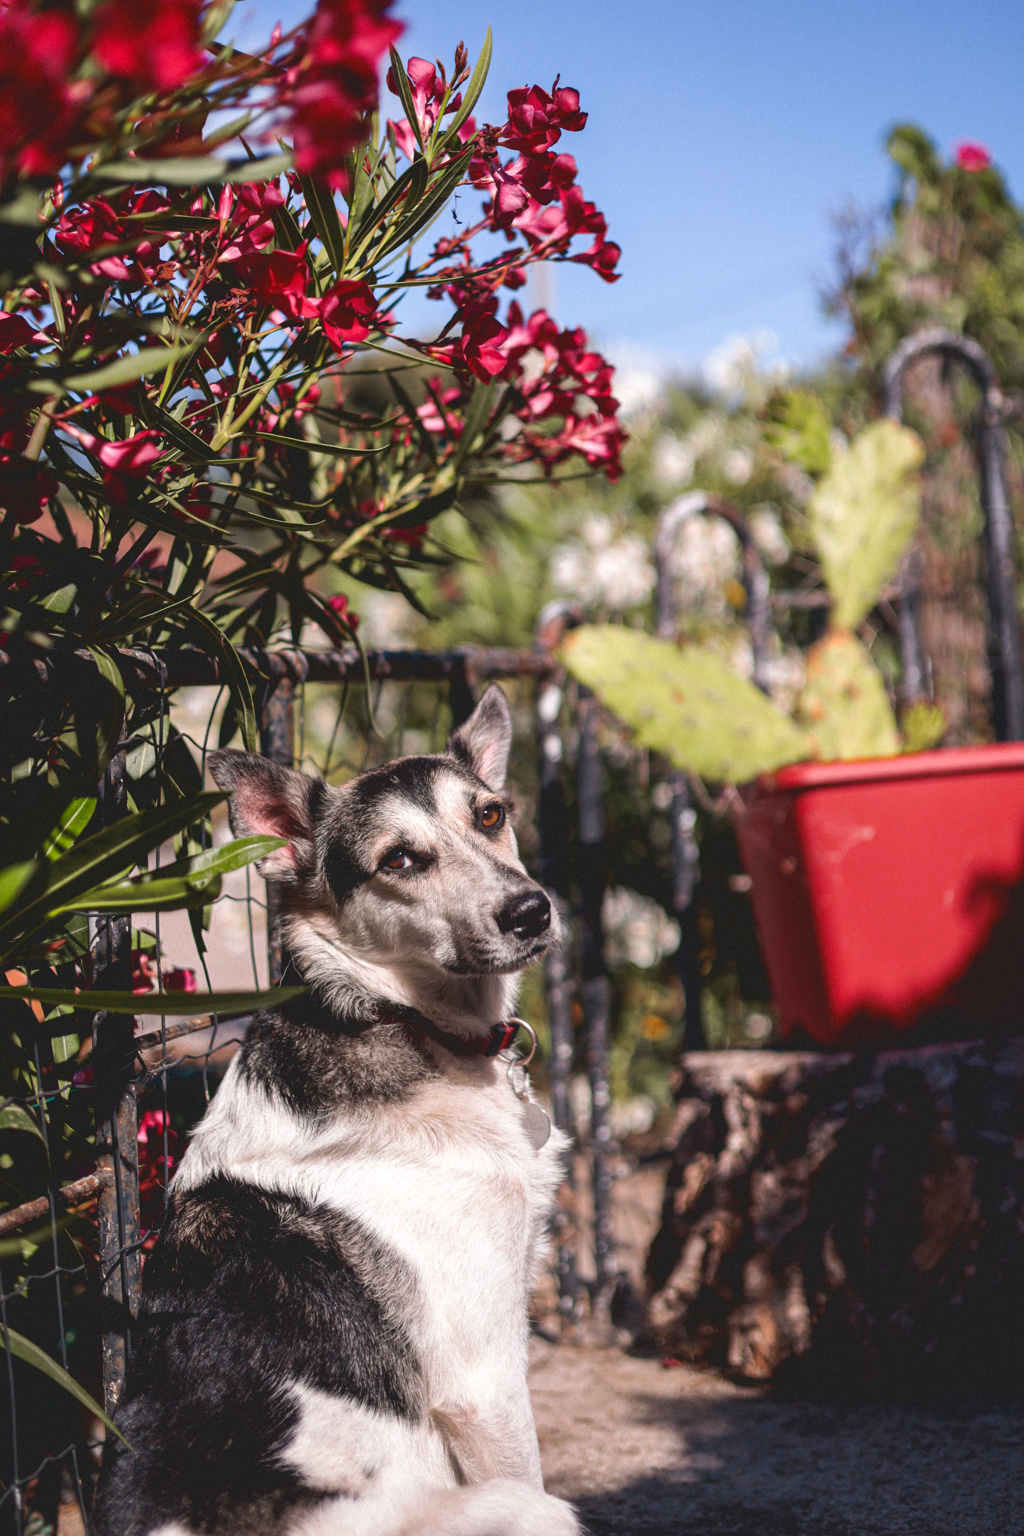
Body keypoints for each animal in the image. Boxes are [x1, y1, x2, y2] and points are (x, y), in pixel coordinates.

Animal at [92, 688, 580, 1536]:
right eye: (401, 861)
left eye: (489, 815)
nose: (532, 911)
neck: (392, 1017)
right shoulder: (485, 1384)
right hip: (524, 1510)